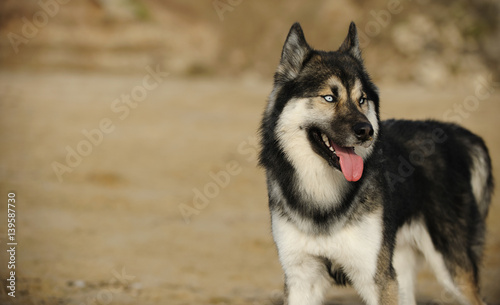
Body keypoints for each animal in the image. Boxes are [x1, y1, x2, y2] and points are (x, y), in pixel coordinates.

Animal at [260, 22, 494, 304]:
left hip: (450, 271)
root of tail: (458, 133)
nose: (367, 131)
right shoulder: (301, 279)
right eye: (329, 98)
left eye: (362, 100)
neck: (324, 197)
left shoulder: (377, 279)